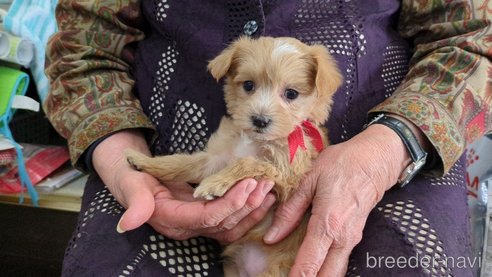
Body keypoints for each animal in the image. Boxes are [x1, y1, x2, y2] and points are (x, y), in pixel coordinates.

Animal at [126, 36, 342, 276]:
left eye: (291, 94)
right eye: (248, 85)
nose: (259, 120)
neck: (254, 140)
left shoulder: (288, 177)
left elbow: (247, 162)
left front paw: (213, 184)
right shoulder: (217, 157)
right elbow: (182, 163)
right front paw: (144, 162)